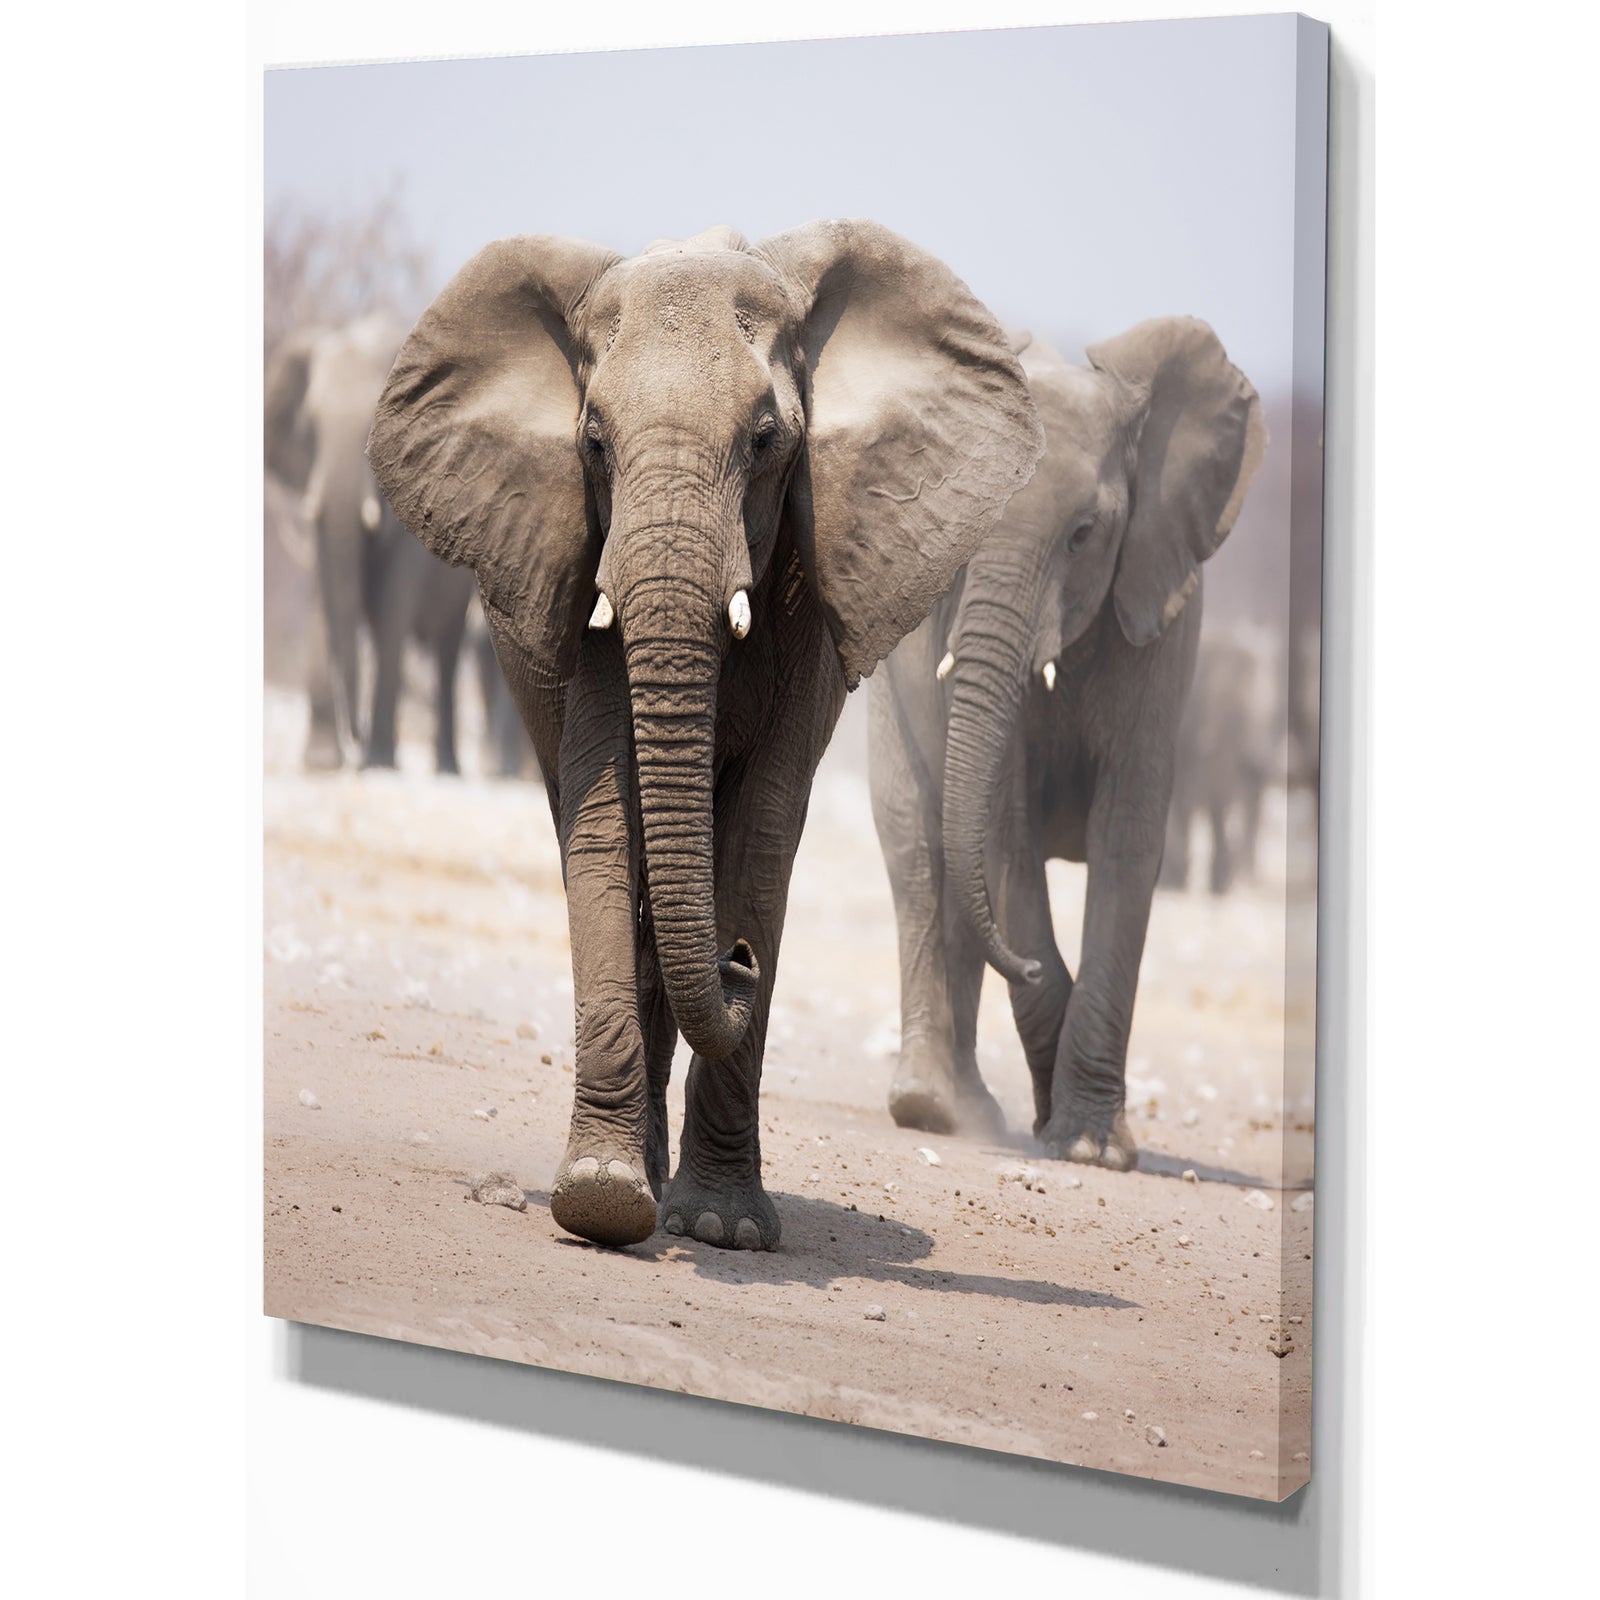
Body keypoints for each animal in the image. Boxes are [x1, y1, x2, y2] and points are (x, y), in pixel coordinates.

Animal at [264, 313, 476, 772]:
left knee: (447, 652)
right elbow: (325, 598)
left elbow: (392, 605)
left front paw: (379, 762)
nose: (354, 741)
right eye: (310, 428)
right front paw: (321, 764)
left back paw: (446, 768)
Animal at [367, 221, 1042, 1249]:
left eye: (765, 442)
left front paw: (723, 1228)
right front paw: (603, 1201)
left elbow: (763, 829)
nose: (740, 965)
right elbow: (607, 814)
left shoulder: (811, 578)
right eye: (593, 442)